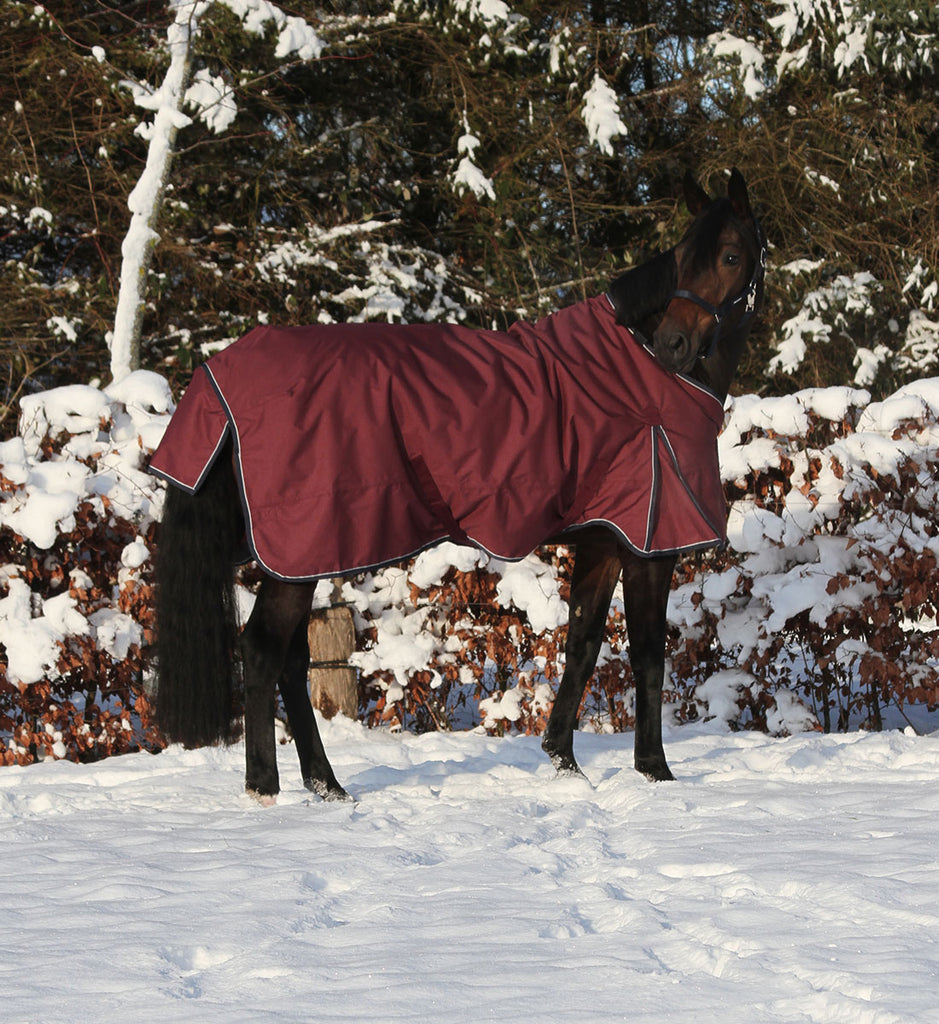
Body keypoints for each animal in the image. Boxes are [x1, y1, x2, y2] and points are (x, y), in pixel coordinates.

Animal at [153, 167, 765, 798]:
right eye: (682, 258)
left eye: (730, 255)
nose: (673, 344)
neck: (638, 376)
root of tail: (222, 371)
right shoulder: (651, 544)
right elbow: (647, 655)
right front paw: (655, 771)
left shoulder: (604, 539)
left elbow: (583, 643)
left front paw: (563, 761)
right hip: (299, 551)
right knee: (263, 650)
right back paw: (265, 786)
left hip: (298, 558)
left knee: (293, 662)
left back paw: (326, 785)